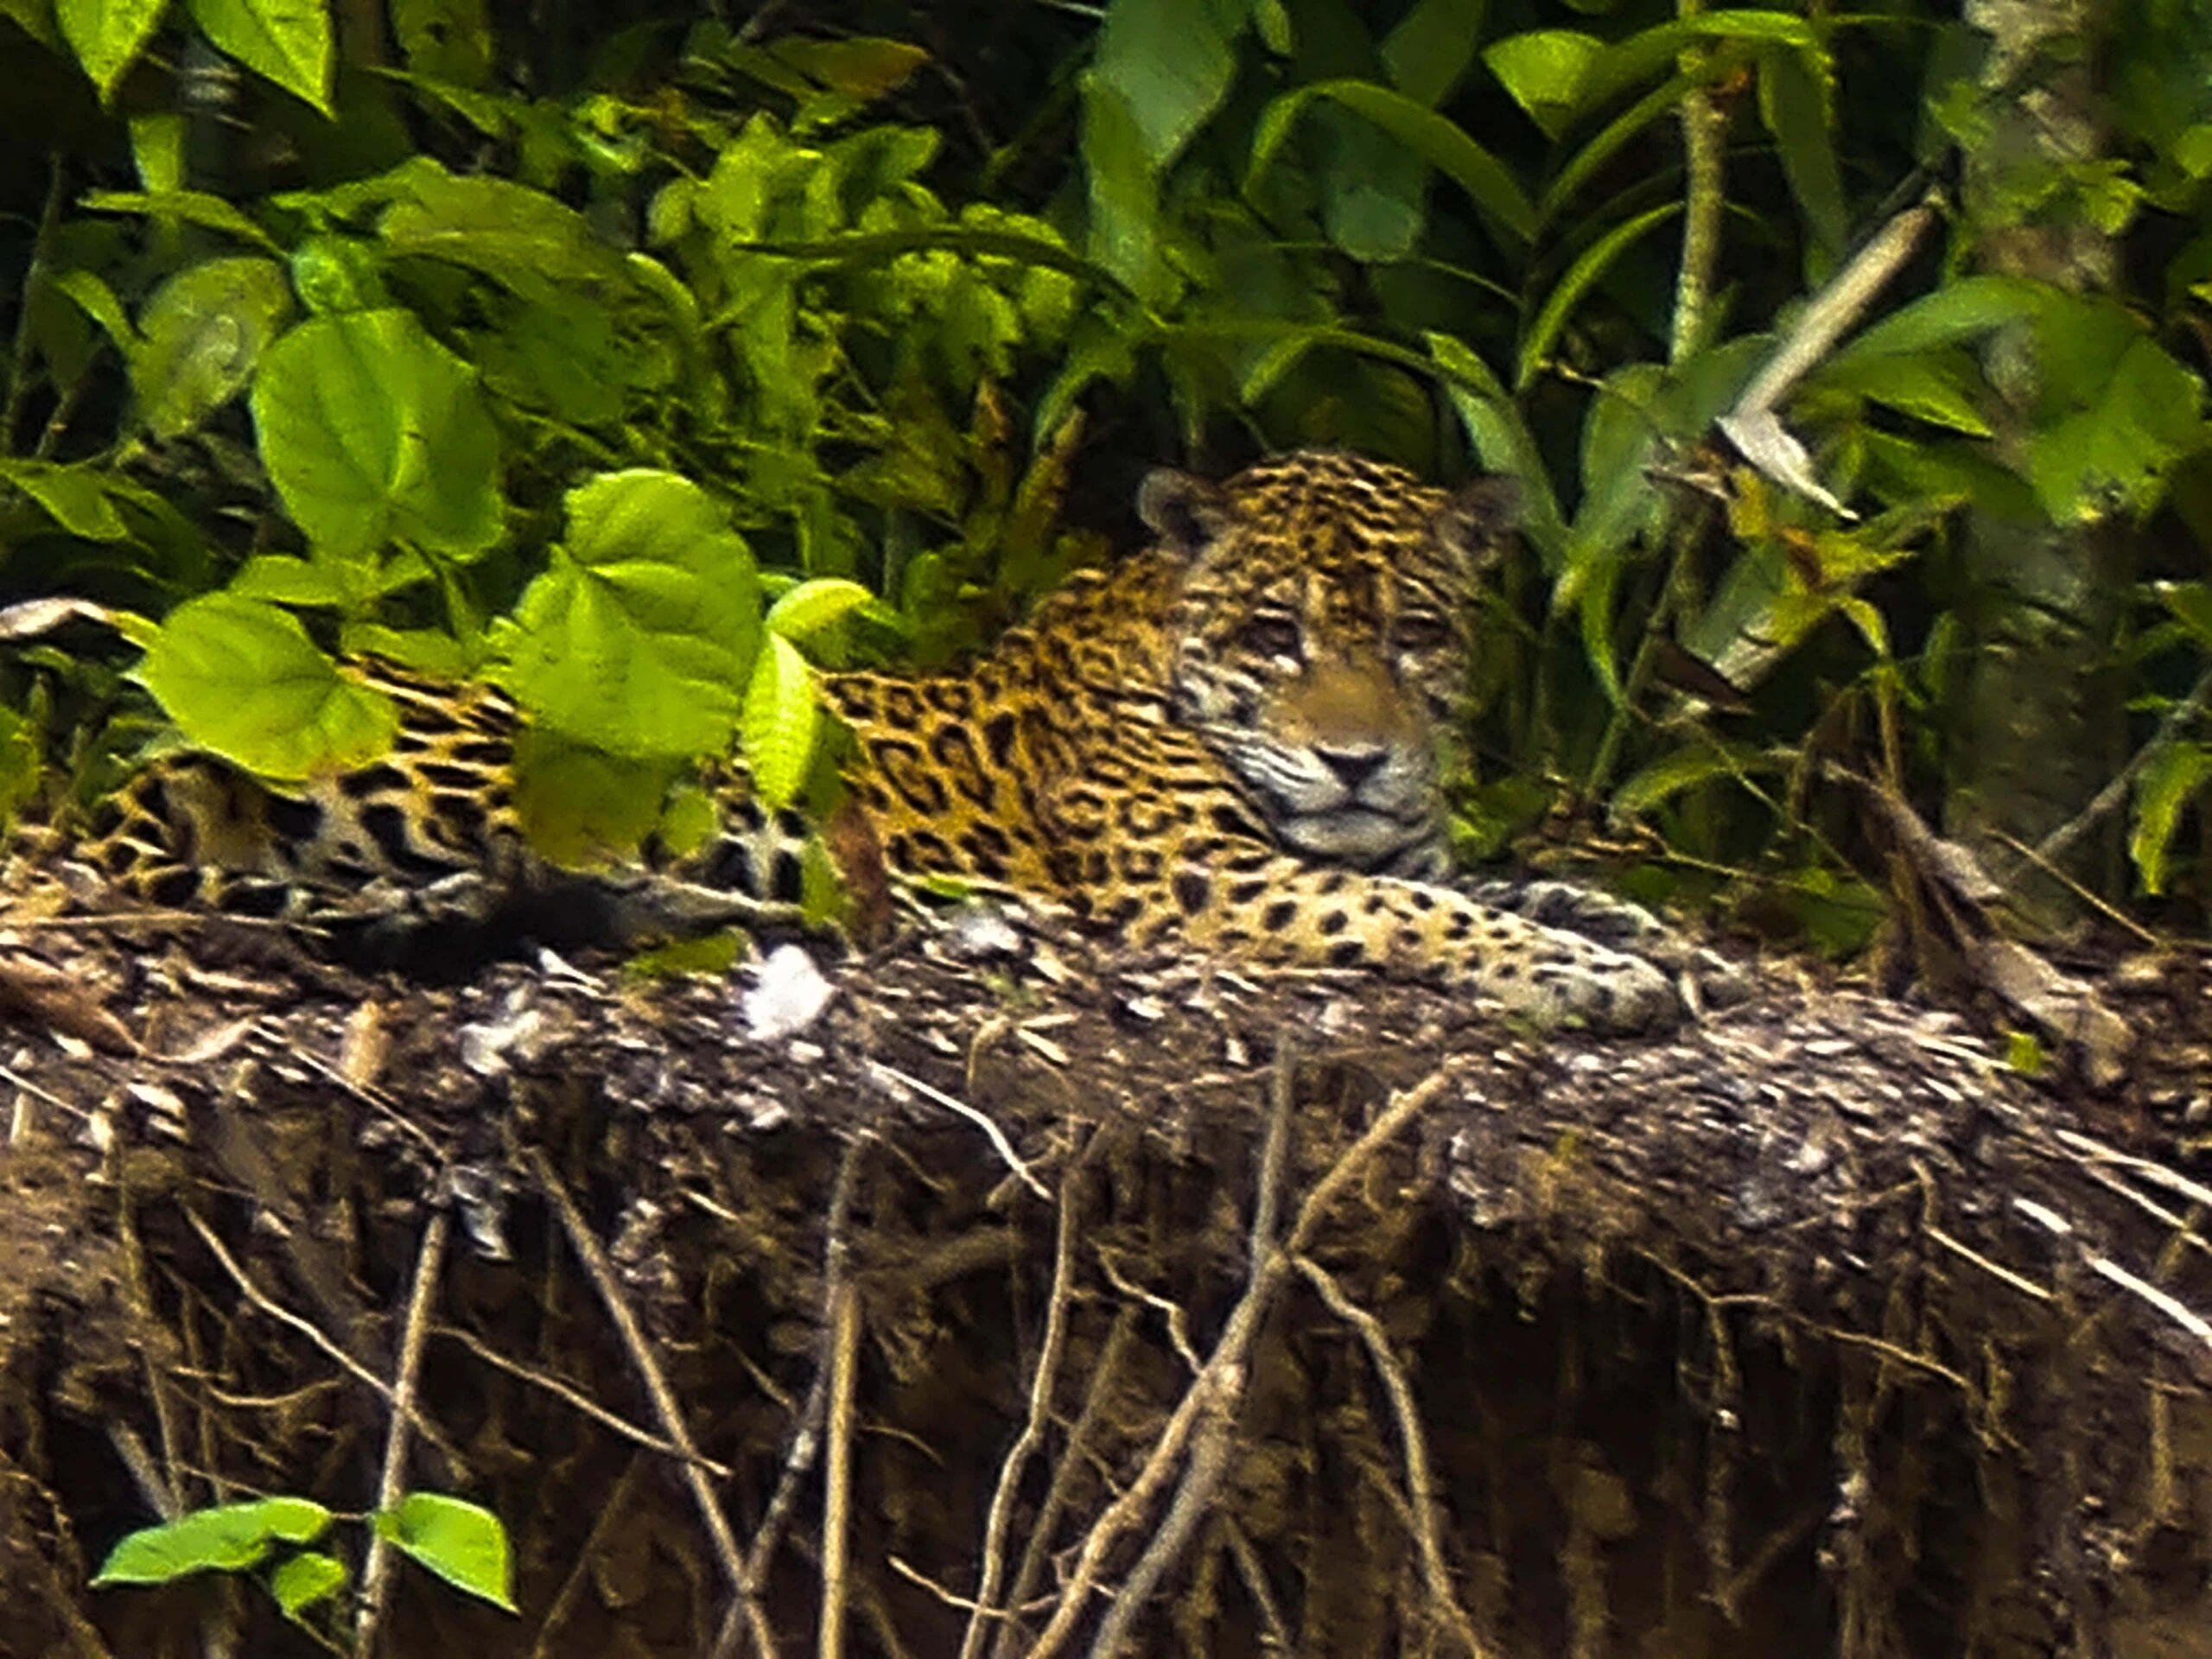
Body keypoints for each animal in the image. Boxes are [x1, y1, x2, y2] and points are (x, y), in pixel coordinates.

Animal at [28, 450, 1736, 1032]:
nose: (1360, 758)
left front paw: (1644, 933)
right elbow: (1422, 914)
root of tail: (135, 777)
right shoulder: (1207, 881)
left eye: (1416, 637)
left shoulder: (1393, 840)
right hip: (499, 749)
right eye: (1276, 640)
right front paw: (1592, 976)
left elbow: (1493, 883)